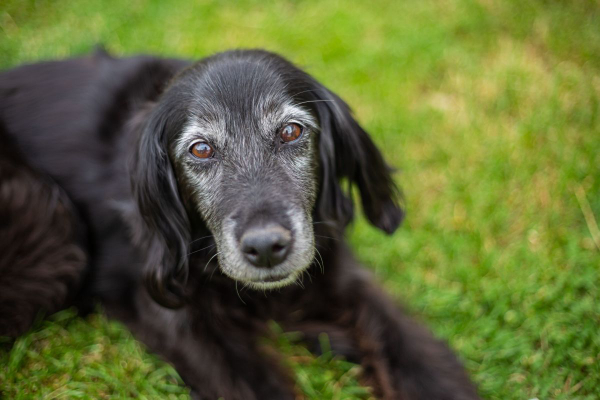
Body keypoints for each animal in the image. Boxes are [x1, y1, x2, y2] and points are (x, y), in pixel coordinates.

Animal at [0, 50, 478, 400]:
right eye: (200, 149)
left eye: (290, 131)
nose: (266, 247)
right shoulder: (174, 314)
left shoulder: (341, 275)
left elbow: (409, 351)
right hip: (56, 228)